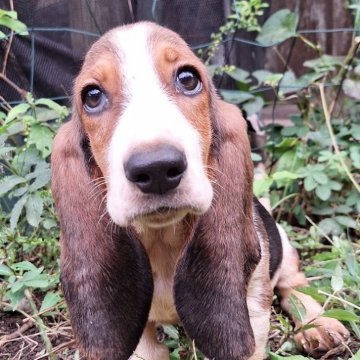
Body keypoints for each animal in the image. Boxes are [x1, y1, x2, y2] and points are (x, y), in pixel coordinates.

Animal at [52, 21, 350, 358]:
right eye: (91, 96)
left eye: (188, 78)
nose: (156, 168)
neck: (163, 243)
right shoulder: (140, 338)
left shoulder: (252, 310)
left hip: (283, 247)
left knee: (295, 284)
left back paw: (318, 324)